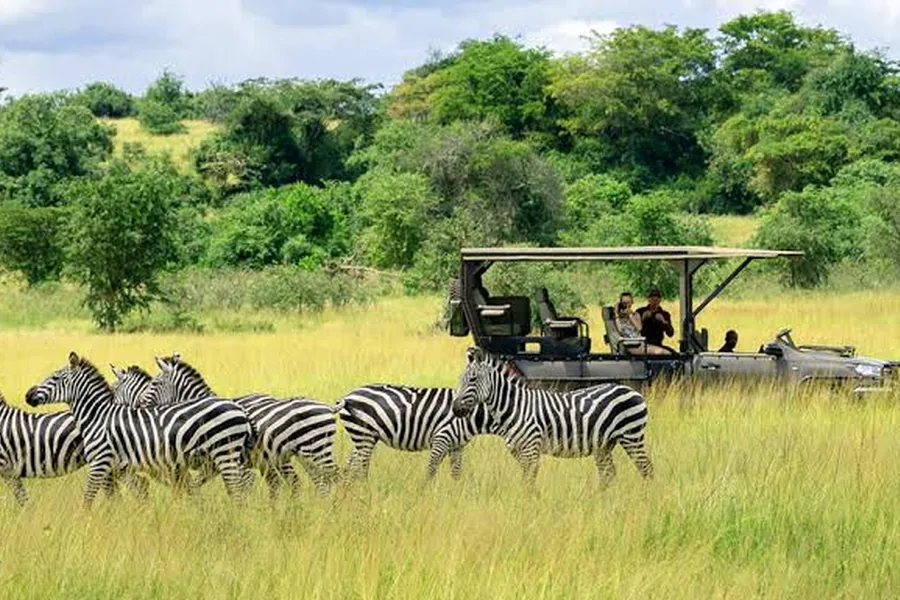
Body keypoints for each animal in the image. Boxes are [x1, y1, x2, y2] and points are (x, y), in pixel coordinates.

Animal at [25, 352, 256, 507]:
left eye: (55, 378)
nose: (28, 395)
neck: (97, 416)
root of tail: (239, 410)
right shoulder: (120, 466)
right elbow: (129, 494)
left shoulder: (100, 462)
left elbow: (89, 498)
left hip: (226, 453)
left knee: (238, 490)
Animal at [134, 354, 339, 498]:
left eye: (155, 382)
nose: (138, 404)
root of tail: (328, 407)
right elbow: (196, 484)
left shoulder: (235, 463)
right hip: (305, 455)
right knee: (317, 482)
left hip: (316, 451)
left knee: (333, 477)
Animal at [334, 381, 498, 482]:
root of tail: (347, 396)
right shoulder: (442, 438)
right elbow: (430, 471)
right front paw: (423, 495)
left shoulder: (457, 446)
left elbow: (456, 473)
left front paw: (456, 496)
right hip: (363, 435)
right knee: (360, 469)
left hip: (364, 436)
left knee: (351, 466)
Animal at [452, 348, 653, 487]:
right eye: (460, 379)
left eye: (472, 379)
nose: (455, 409)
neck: (515, 407)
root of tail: (632, 390)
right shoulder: (519, 452)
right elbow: (526, 481)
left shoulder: (531, 449)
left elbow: (528, 482)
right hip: (604, 444)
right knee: (609, 474)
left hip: (631, 436)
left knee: (646, 469)